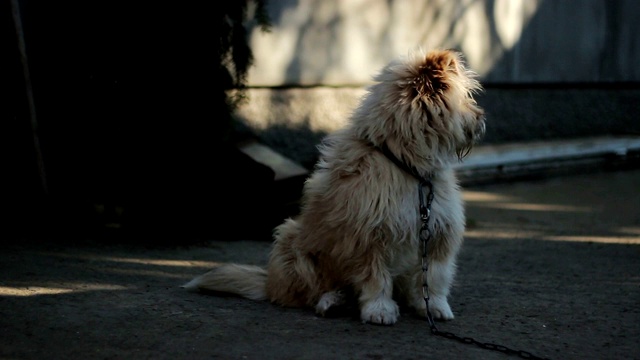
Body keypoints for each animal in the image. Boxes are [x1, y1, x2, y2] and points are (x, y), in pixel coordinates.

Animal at [184, 48, 484, 326]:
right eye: (466, 97)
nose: (481, 118)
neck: (408, 166)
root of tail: (269, 284)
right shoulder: (368, 238)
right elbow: (376, 279)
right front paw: (379, 309)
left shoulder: (438, 235)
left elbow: (434, 277)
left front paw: (433, 306)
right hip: (292, 245)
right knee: (312, 292)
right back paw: (332, 301)